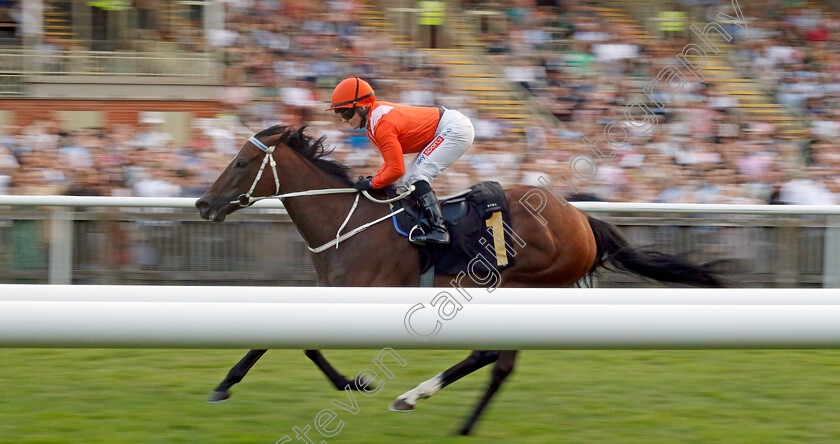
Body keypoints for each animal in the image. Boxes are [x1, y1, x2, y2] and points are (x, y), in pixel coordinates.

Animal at [195, 125, 720, 438]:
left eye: (241, 163)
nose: (203, 204)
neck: (347, 225)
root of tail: (581, 218)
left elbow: (298, 342)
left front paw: (353, 382)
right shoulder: (323, 295)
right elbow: (291, 340)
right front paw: (348, 382)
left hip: (523, 284)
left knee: (491, 357)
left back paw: (429, 406)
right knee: (496, 361)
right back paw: (441, 413)